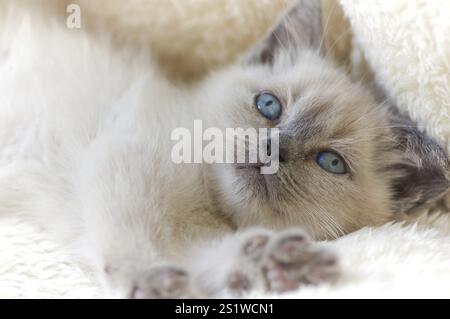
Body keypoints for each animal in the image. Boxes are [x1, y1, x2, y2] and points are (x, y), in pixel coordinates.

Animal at [1, 0, 448, 300]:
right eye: (268, 106)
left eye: (330, 162)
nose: (273, 149)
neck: (206, 205)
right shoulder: (125, 162)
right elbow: (131, 236)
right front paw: (149, 279)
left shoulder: (193, 237)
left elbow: (210, 259)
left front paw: (270, 262)